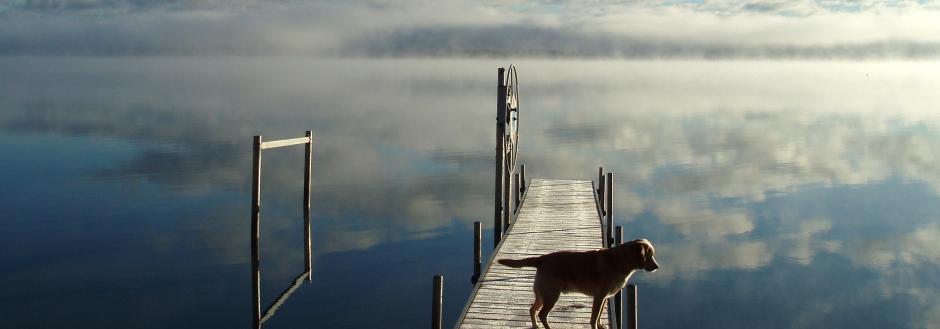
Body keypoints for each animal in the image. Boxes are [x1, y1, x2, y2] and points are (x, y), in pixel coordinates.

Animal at [496, 238, 656, 328]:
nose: (657, 267)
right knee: (542, 314)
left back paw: (535, 326)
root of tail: (543, 258)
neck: (620, 260)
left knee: (532, 309)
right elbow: (593, 318)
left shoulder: (603, 298)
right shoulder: (599, 297)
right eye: (649, 256)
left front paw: (601, 325)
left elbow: (598, 316)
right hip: (551, 295)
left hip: (542, 295)